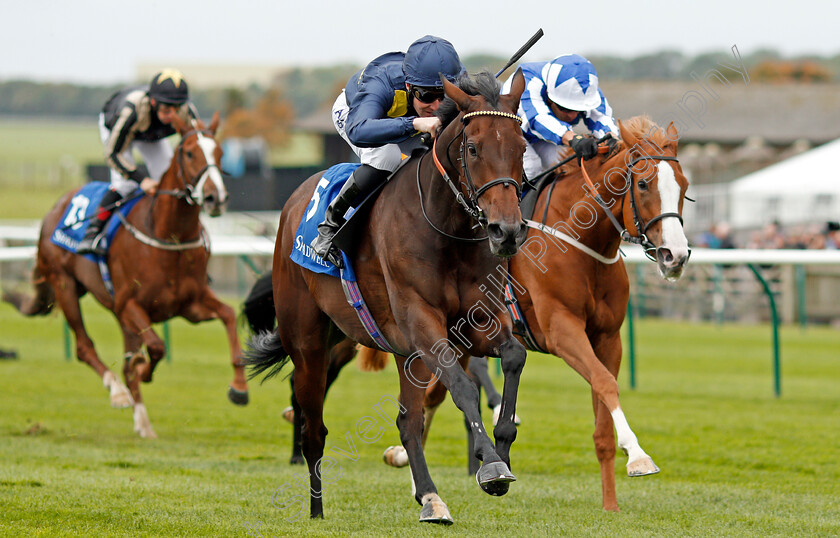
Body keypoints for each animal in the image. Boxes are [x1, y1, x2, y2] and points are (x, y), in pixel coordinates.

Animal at [3, 112, 248, 436]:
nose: (214, 198)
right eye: (189, 152)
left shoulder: (190, 305)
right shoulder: (130, 304)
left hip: (118, 314)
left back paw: (143, 423)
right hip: (65, 285)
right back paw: (118, 392)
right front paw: (143, 370)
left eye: (219, 153)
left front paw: (239, 388)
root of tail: (54, 210)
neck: (168, 235)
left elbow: (229, 316)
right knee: (84, 347)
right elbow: (156, 347)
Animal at [246, 71, 528, 524]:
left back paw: (431, 498)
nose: (507, 231)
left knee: (408, 421)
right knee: (313, 427)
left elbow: (514, 357)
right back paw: (316, 509)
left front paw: (501, 449)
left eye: (521, 147)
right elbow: (464, 388)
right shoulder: (421, 322)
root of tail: (292, 204)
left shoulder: (476, 321)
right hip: (309, 343)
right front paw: (490, 464)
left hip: (399, 352)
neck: (445, 228)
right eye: (472, 148)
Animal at [384, 114, 692, 510]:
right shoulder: (562, 330)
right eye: (642, 183)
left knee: (435, 395)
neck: (580, 242)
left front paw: (610, 503)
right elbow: (605, 382)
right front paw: (639, 455)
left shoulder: (608, 338)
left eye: (684, 186)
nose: (676, 256)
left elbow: (603, 413)